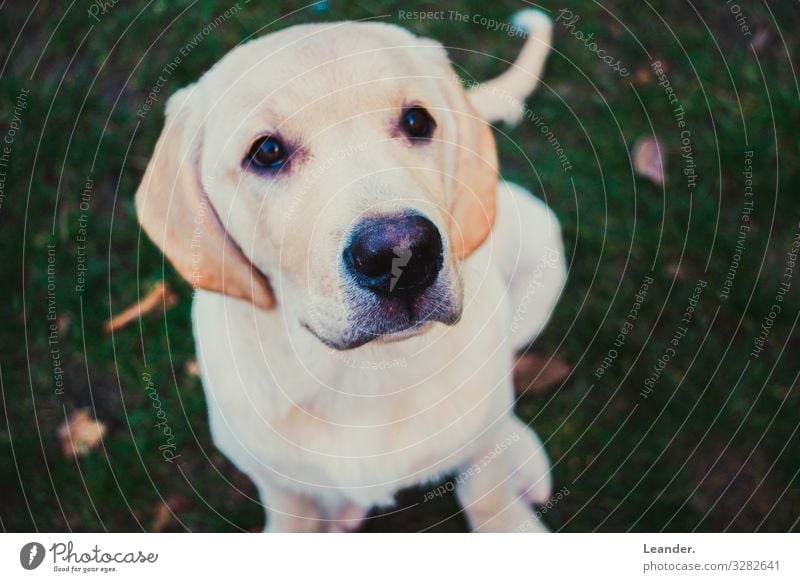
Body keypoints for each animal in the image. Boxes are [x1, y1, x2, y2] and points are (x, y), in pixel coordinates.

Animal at [136, 9, 564, 536]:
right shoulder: (277, 481)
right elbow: (292, 521)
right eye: (267, 152)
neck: (362, 375)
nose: (402, 253)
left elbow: (487, 494)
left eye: (417, 120)